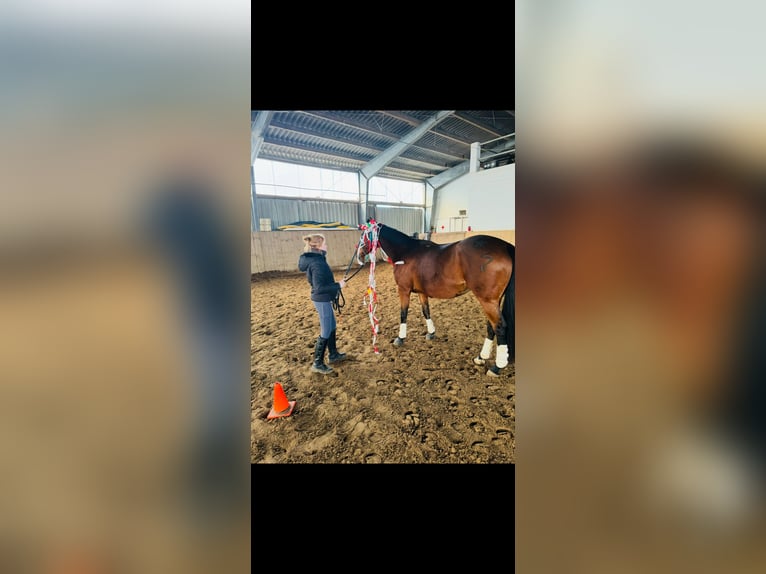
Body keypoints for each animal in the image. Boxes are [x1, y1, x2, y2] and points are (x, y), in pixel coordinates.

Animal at [358, 222, 516, 378]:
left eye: (363, 236)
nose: (359, 255)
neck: (406, 252)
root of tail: (505, 246)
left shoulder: (403, 290)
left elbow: (403, 314)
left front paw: (400, 338)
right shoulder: (422, 292)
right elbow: (426, 311)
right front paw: (431, 333)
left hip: (487, 300)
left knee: (499, 327)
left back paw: (497, 367)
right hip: (493, 300)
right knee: (491, 326)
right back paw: (481, 358)